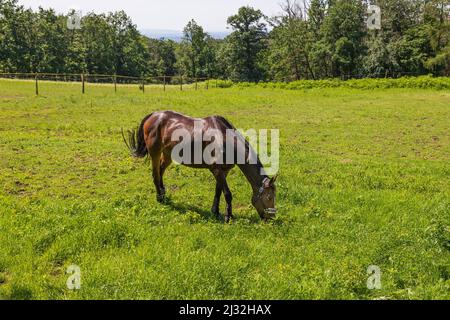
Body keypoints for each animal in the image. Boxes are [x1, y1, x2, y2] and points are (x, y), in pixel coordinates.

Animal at [124, 110, 278, 222]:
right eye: (269, 198)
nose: (271, 218)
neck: (225, 140)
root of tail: (153, 115)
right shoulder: (217, 171)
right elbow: (227, 194)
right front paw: (228, 216)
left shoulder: (223, 172)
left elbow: (218, 191)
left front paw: (215, 211)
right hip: (155, 153)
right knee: (156, 174)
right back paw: (160, 198)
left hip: (167, 155)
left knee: (160, 171)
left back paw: (163, 193)